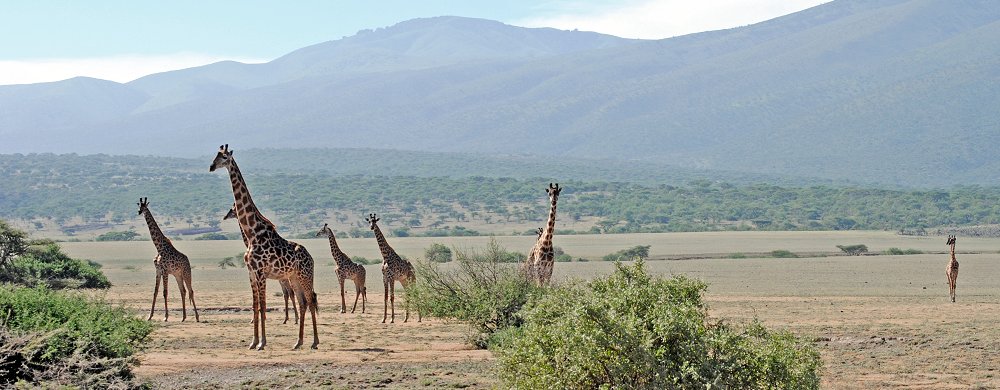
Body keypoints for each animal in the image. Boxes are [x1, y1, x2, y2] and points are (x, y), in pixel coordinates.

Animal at [209, 145, 318, 350]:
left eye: (224, 157)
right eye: (215, 155)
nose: (211, 167)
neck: (252, 233)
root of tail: (311, 257)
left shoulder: (260, 273)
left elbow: (263, 306)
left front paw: (262, 343)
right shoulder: (251, 273)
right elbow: (255, 306)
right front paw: (253, 342)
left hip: (305, 276)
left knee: (310, 300)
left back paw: (315, 342)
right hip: (294, 277)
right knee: (302, 302)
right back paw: (298, 342)